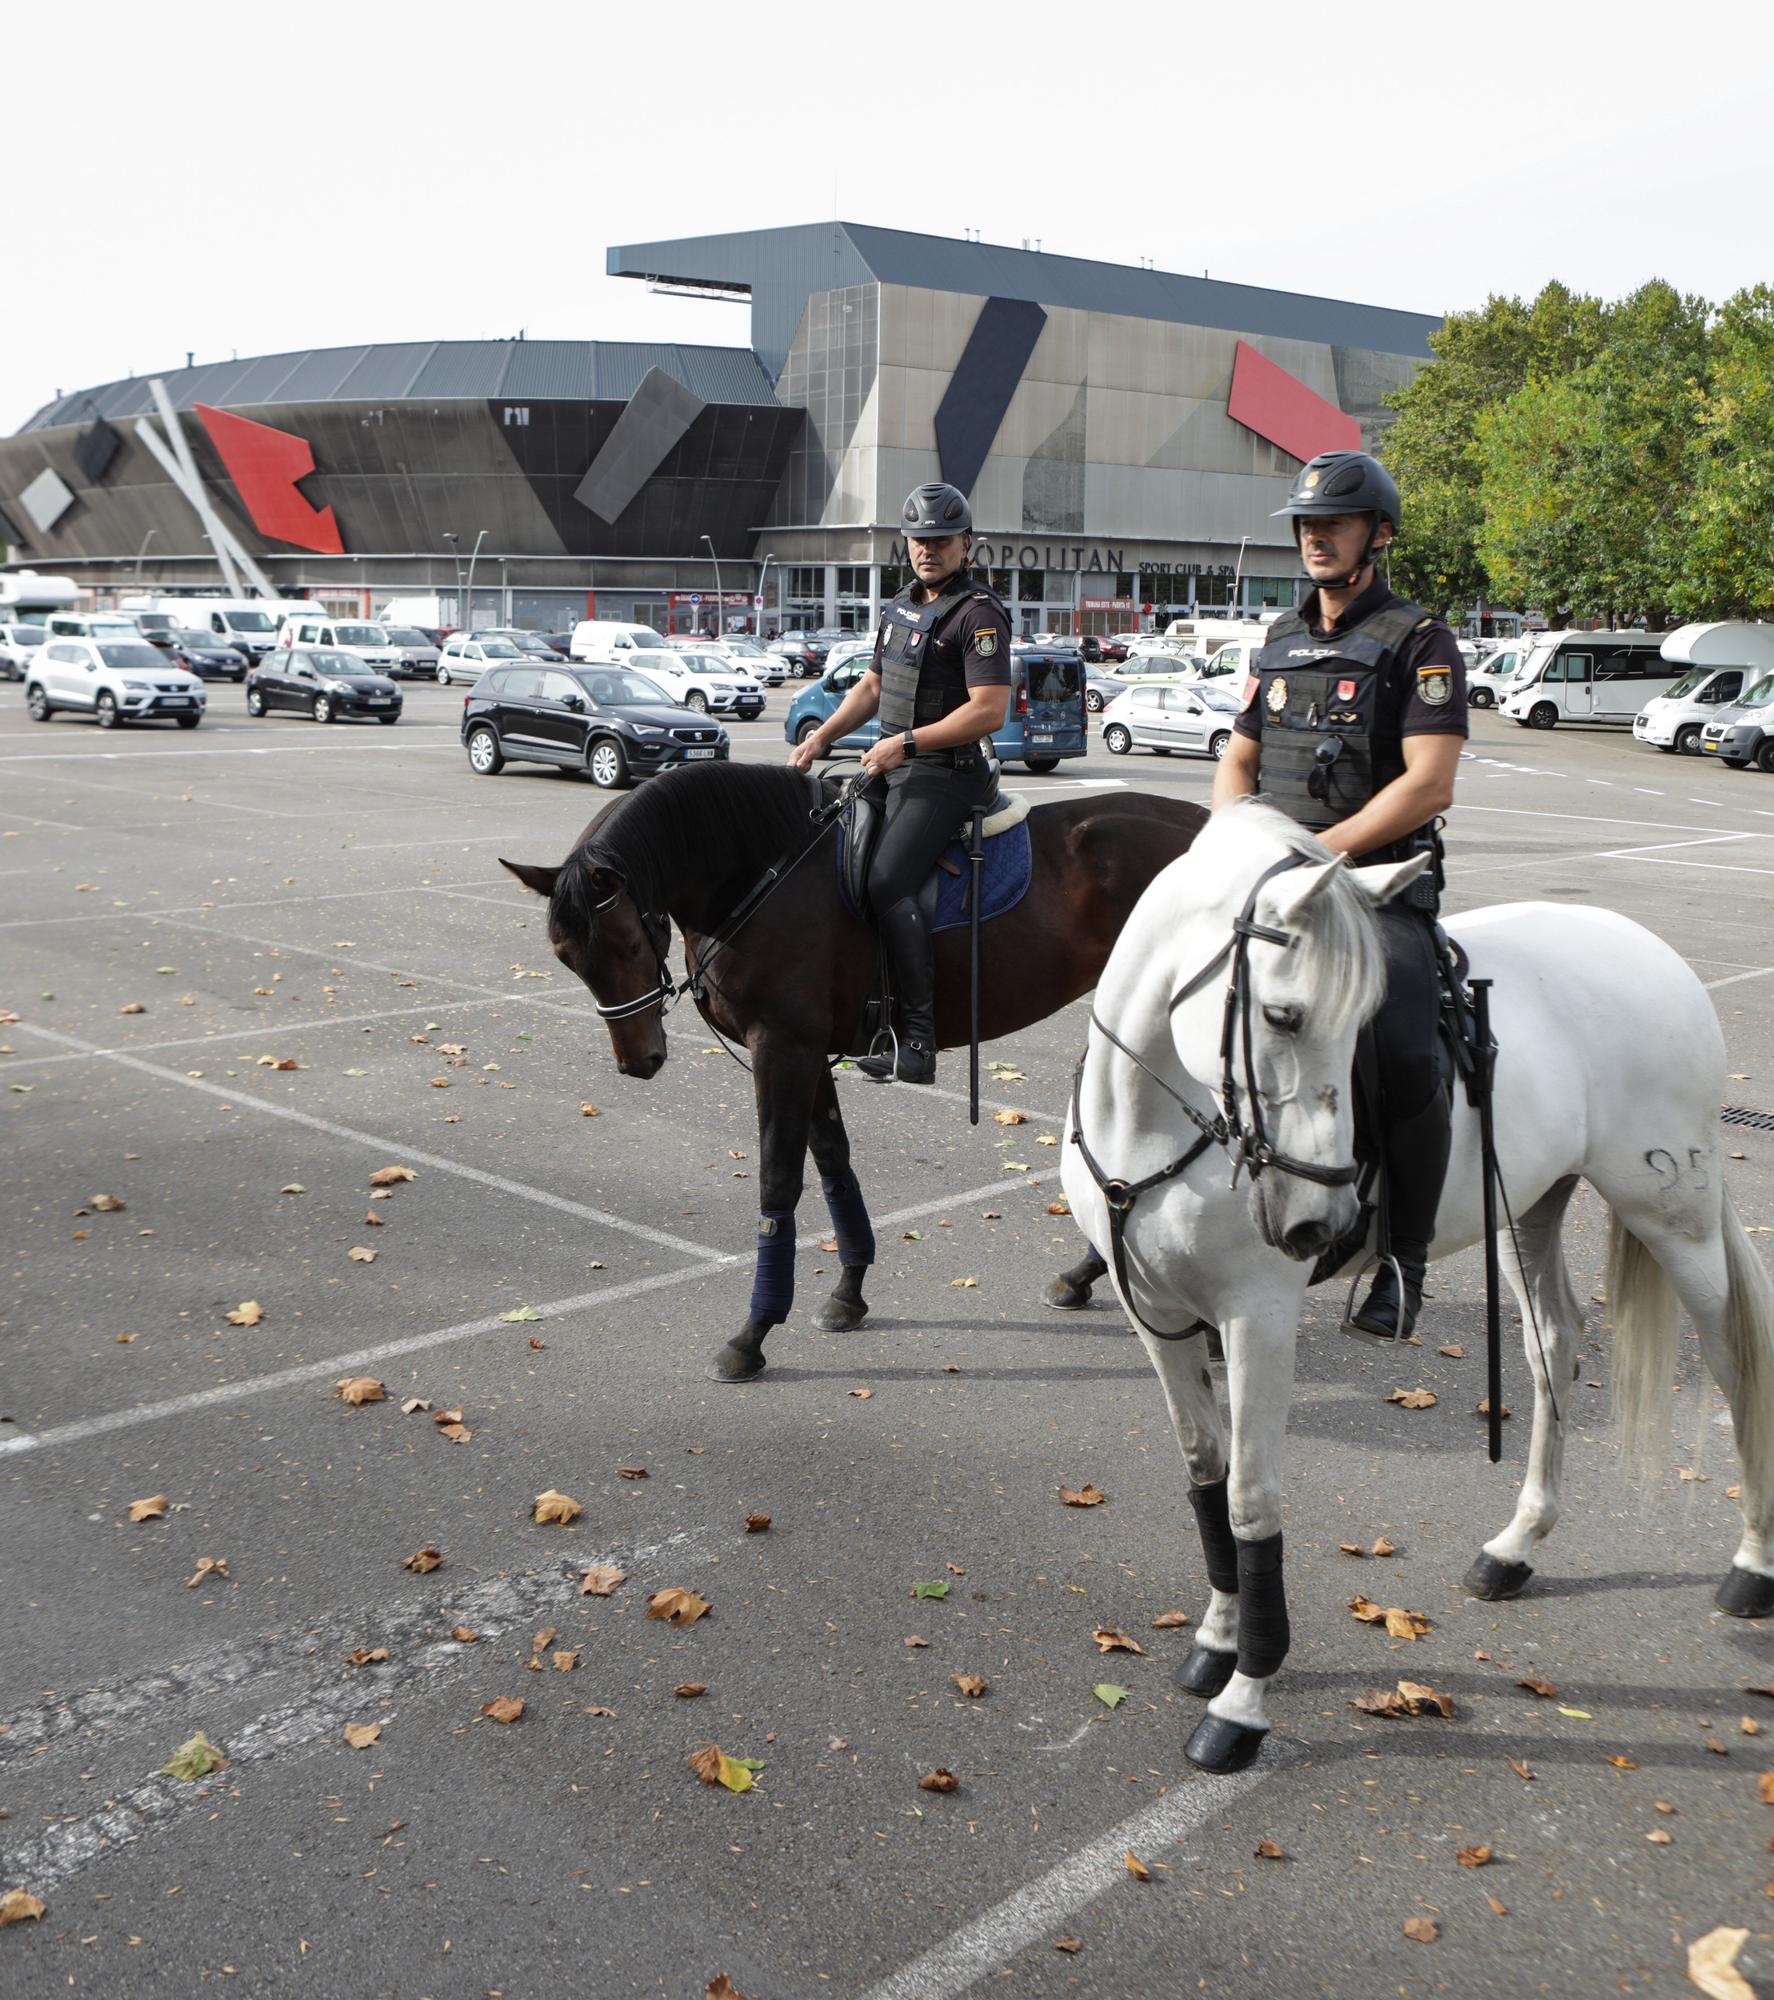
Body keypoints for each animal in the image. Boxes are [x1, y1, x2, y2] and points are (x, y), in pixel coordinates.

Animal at [506, 756, 1216, 1384]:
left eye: (629, 944)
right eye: (565, 957)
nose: (638, 1061)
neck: (762, 874)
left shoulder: (783, 1047)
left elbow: (778, 1181)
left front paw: (752, 1333)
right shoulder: (808, 1052)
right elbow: (832, 1165)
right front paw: (849, 1290)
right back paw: (1095, 1275)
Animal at [1064, 796, 1768, 1768]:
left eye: (1359, 1018)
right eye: (1282, 1016)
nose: (1315, 1224)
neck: (1158, 1123)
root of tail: (1656, 954)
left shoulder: (1257, 1318)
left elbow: (1250, 1498)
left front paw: (1245, 1698)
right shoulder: (1159, 1317)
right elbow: (1206, 1473)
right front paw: (1215, 1638)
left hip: (1676, 1216)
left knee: (1733, 1363)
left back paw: (1752, 1567)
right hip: (1531, 1208)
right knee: (1556, 1347)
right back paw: (1515, 1547)